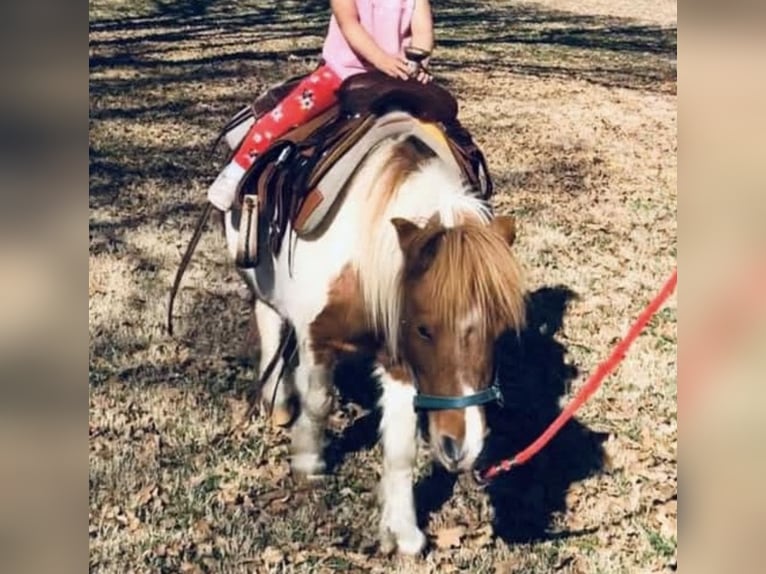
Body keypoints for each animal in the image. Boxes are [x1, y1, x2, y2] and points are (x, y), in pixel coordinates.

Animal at [223, 133, 526, 555]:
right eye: (424, 329)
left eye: (500, 330)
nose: (461, 448)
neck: (361, 257)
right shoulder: (316, 338)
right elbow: (318, 402)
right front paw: (308, 461)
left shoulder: (399, 361)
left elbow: (400, 446)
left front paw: (403, 531)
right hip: (257, 278)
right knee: (269, 321)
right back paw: (278, 402)